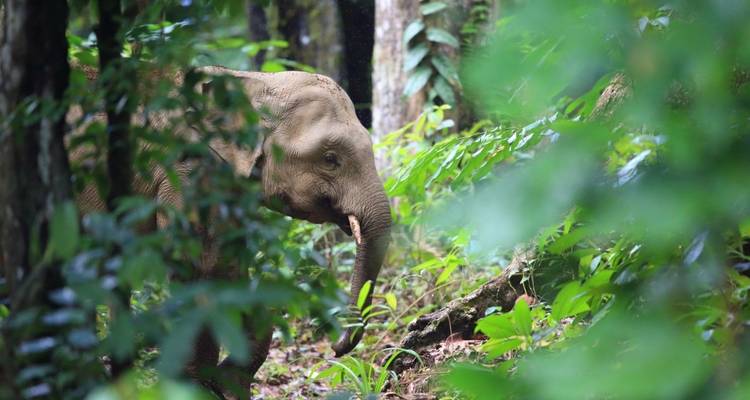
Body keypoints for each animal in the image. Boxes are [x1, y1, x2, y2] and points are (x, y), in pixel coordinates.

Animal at [67, 66, 391, 398]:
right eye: (330, 159)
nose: (335, 348)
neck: (252, 80)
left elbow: (229, 266)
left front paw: (226, 384)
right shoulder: (187, 172)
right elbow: (199, 265)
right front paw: (198, 388)